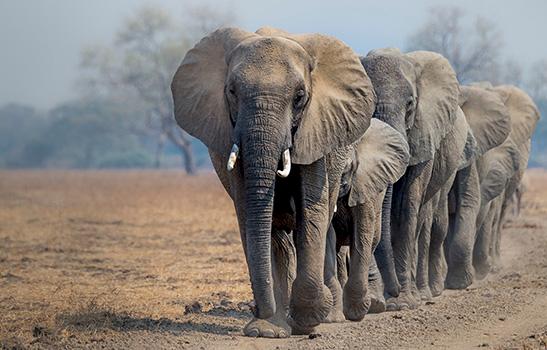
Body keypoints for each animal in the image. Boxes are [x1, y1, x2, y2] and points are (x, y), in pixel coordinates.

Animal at [171, 26, 376, 338]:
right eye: (232, 92)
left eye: (300, 96)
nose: (259, 309)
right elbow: (251, 215)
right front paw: (265, 330)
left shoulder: (316, 130)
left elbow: (312, 212)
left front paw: (308, 320)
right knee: (276, 236)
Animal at [326, 119, 412, 322]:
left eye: (349, 168)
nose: (396, 292)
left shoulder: (363, 182)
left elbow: (362, 232)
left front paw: (357, 311)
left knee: (373, 239)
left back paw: (374, 304)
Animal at [362, 47, 468, 310]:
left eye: (410, 104)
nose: (393, 292)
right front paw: (381, 302)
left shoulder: (425, 131)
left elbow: (407, 206)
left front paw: (402, 304)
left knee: (427, 222)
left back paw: (426, 293)